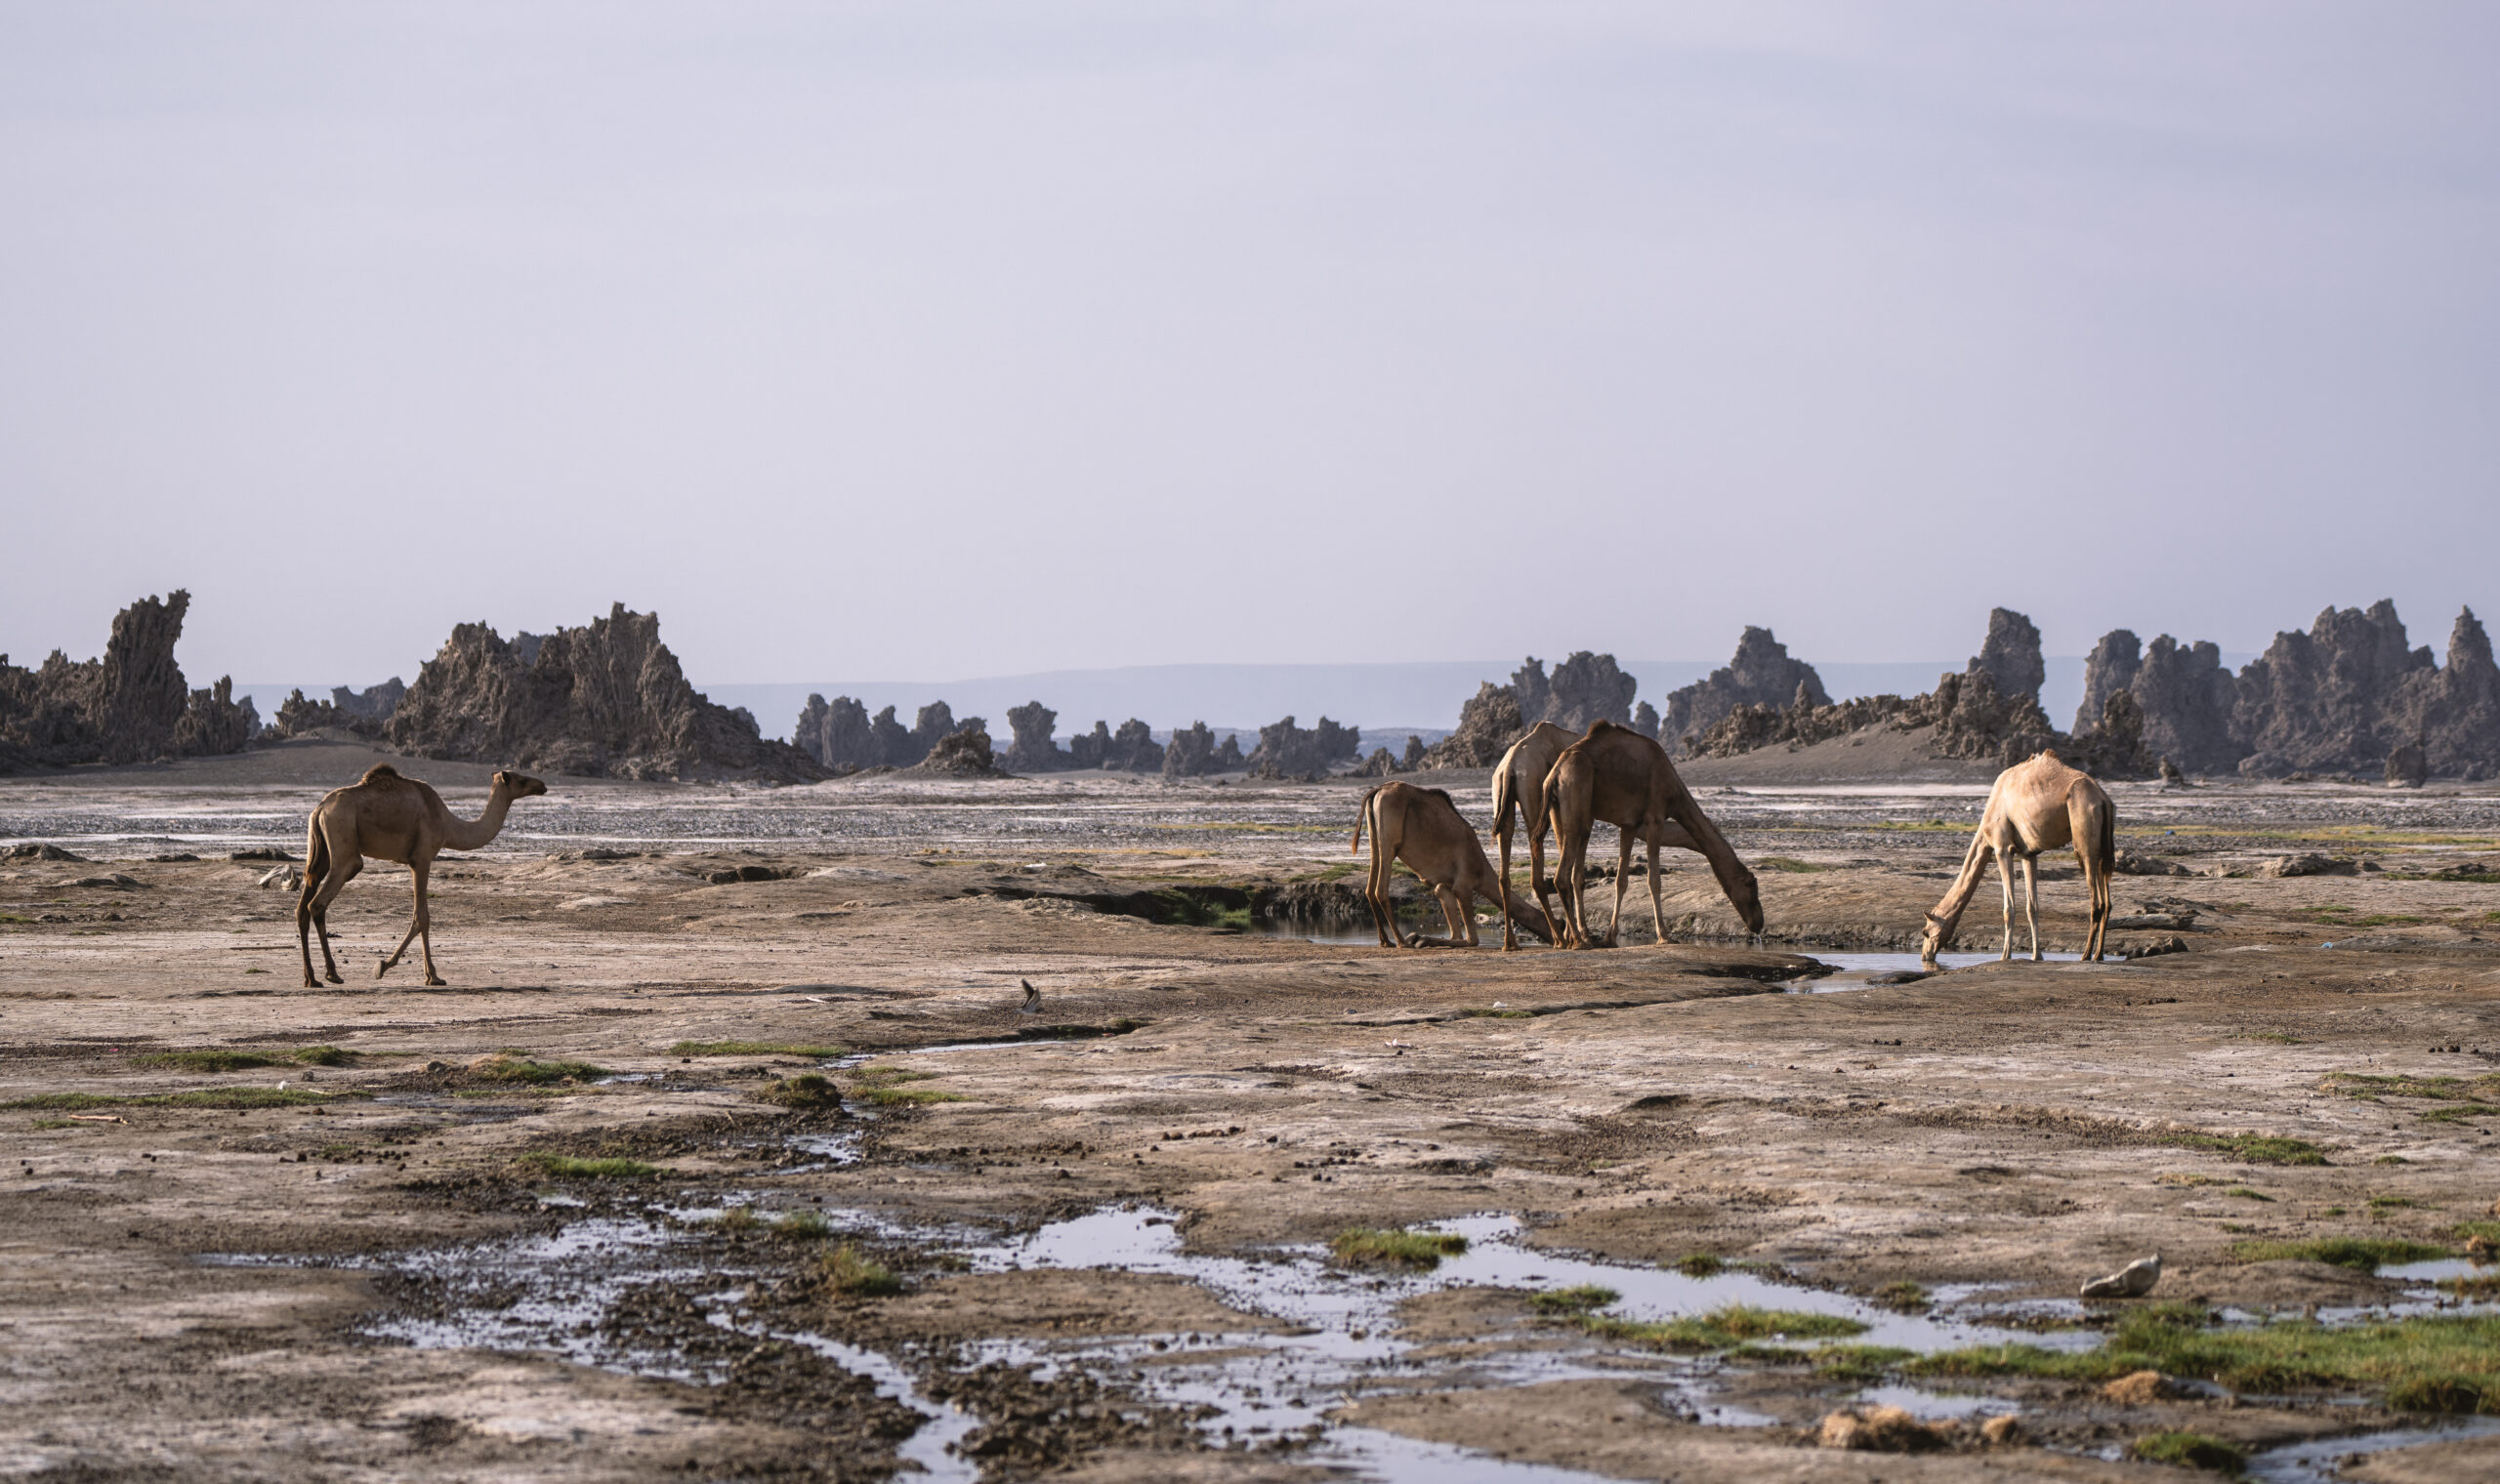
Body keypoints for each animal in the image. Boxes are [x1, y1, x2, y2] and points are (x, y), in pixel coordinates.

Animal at [297, 764, 547, 988]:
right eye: (521, 779)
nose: (542, 785)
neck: (449, 825)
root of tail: (320, 808)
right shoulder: (422, 858)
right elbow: (422, 917)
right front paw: (416, 973)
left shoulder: (414, 862)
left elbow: (422, 917)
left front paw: (422, 973)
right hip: (344, 843)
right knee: (319, 902)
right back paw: (332, 974)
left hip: (320, 851)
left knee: (304, 902)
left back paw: (312, 979)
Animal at [1351, 782, 1555, 949]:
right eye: (1556, 923)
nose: (1556, 938)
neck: (1482, 872)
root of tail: (1376, 791)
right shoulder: (1463, 885)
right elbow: (1472, 940)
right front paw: (1419, 939)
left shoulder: (1444, 886)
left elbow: (1455, 933)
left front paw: (1421, 938)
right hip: (1390, 842)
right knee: (1380, 890)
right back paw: (1401, 941)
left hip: (1375, 840)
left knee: (1370, 887)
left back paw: (1386, 941)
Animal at [1542, 721, 1765, 949]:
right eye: (1751, 885)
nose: (1758, 923)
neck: (1675, 793)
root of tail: (1555, 775)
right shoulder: (1655, 817)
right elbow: (1654, 880)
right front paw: (1665, 936)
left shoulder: (1629, 825)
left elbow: (1621, 881)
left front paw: (1610, 937)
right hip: (1577, 800)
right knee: (1562, 876)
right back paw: (1579, 941)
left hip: (1559, 811)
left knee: (1573, 873)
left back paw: (1573, 938)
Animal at [1918, 750, 2113, 966]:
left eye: (1926, 932)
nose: (1925, 956)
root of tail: (2102, 799)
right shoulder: (2028, 854)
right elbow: (2032, 907)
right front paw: (2037, 956)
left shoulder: (2001, 848)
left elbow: (2008, 909)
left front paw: (2005, 955)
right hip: (2103, 845)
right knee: (2106, 899)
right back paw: (2099, 954)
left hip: (2084, 834)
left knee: (2096, 901)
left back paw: (2085, 955)